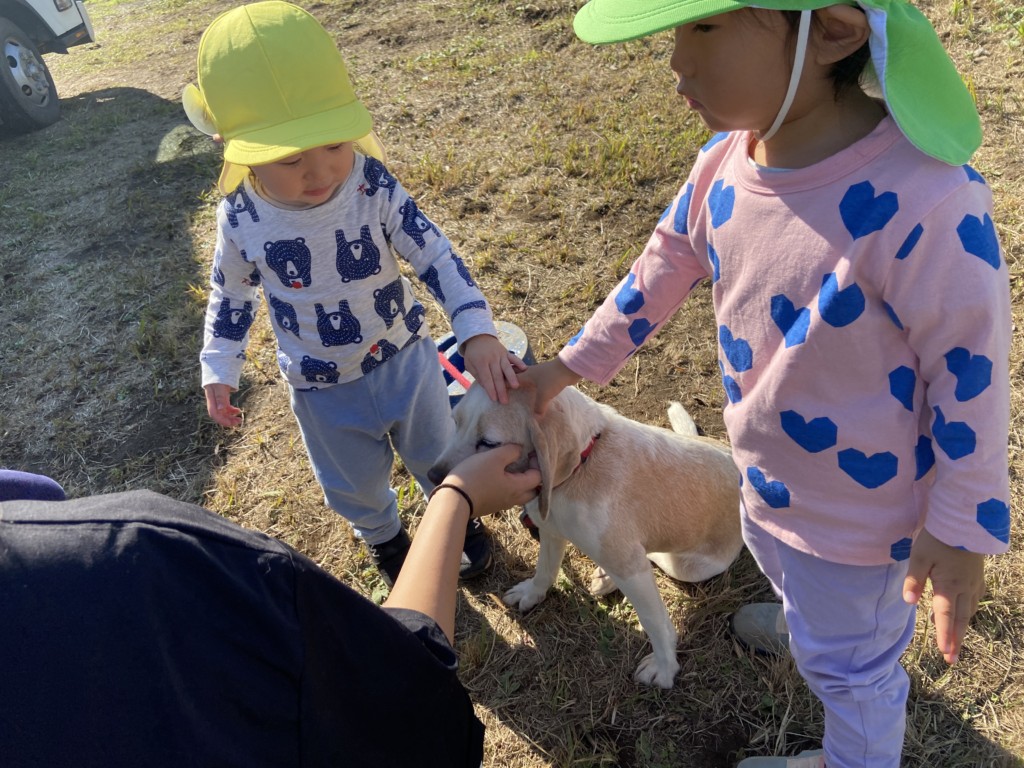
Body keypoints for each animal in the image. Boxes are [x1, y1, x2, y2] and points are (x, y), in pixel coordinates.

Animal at [428, 382, 743, 688]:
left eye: (489, 443)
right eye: (455, 422)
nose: (433, 477)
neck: (583, 464)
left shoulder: (630, 566)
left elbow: (654, 621)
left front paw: (664, 668)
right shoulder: (551, 530)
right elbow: (544, 570)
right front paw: (532, 593)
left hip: (689, 568)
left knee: (654, 556)